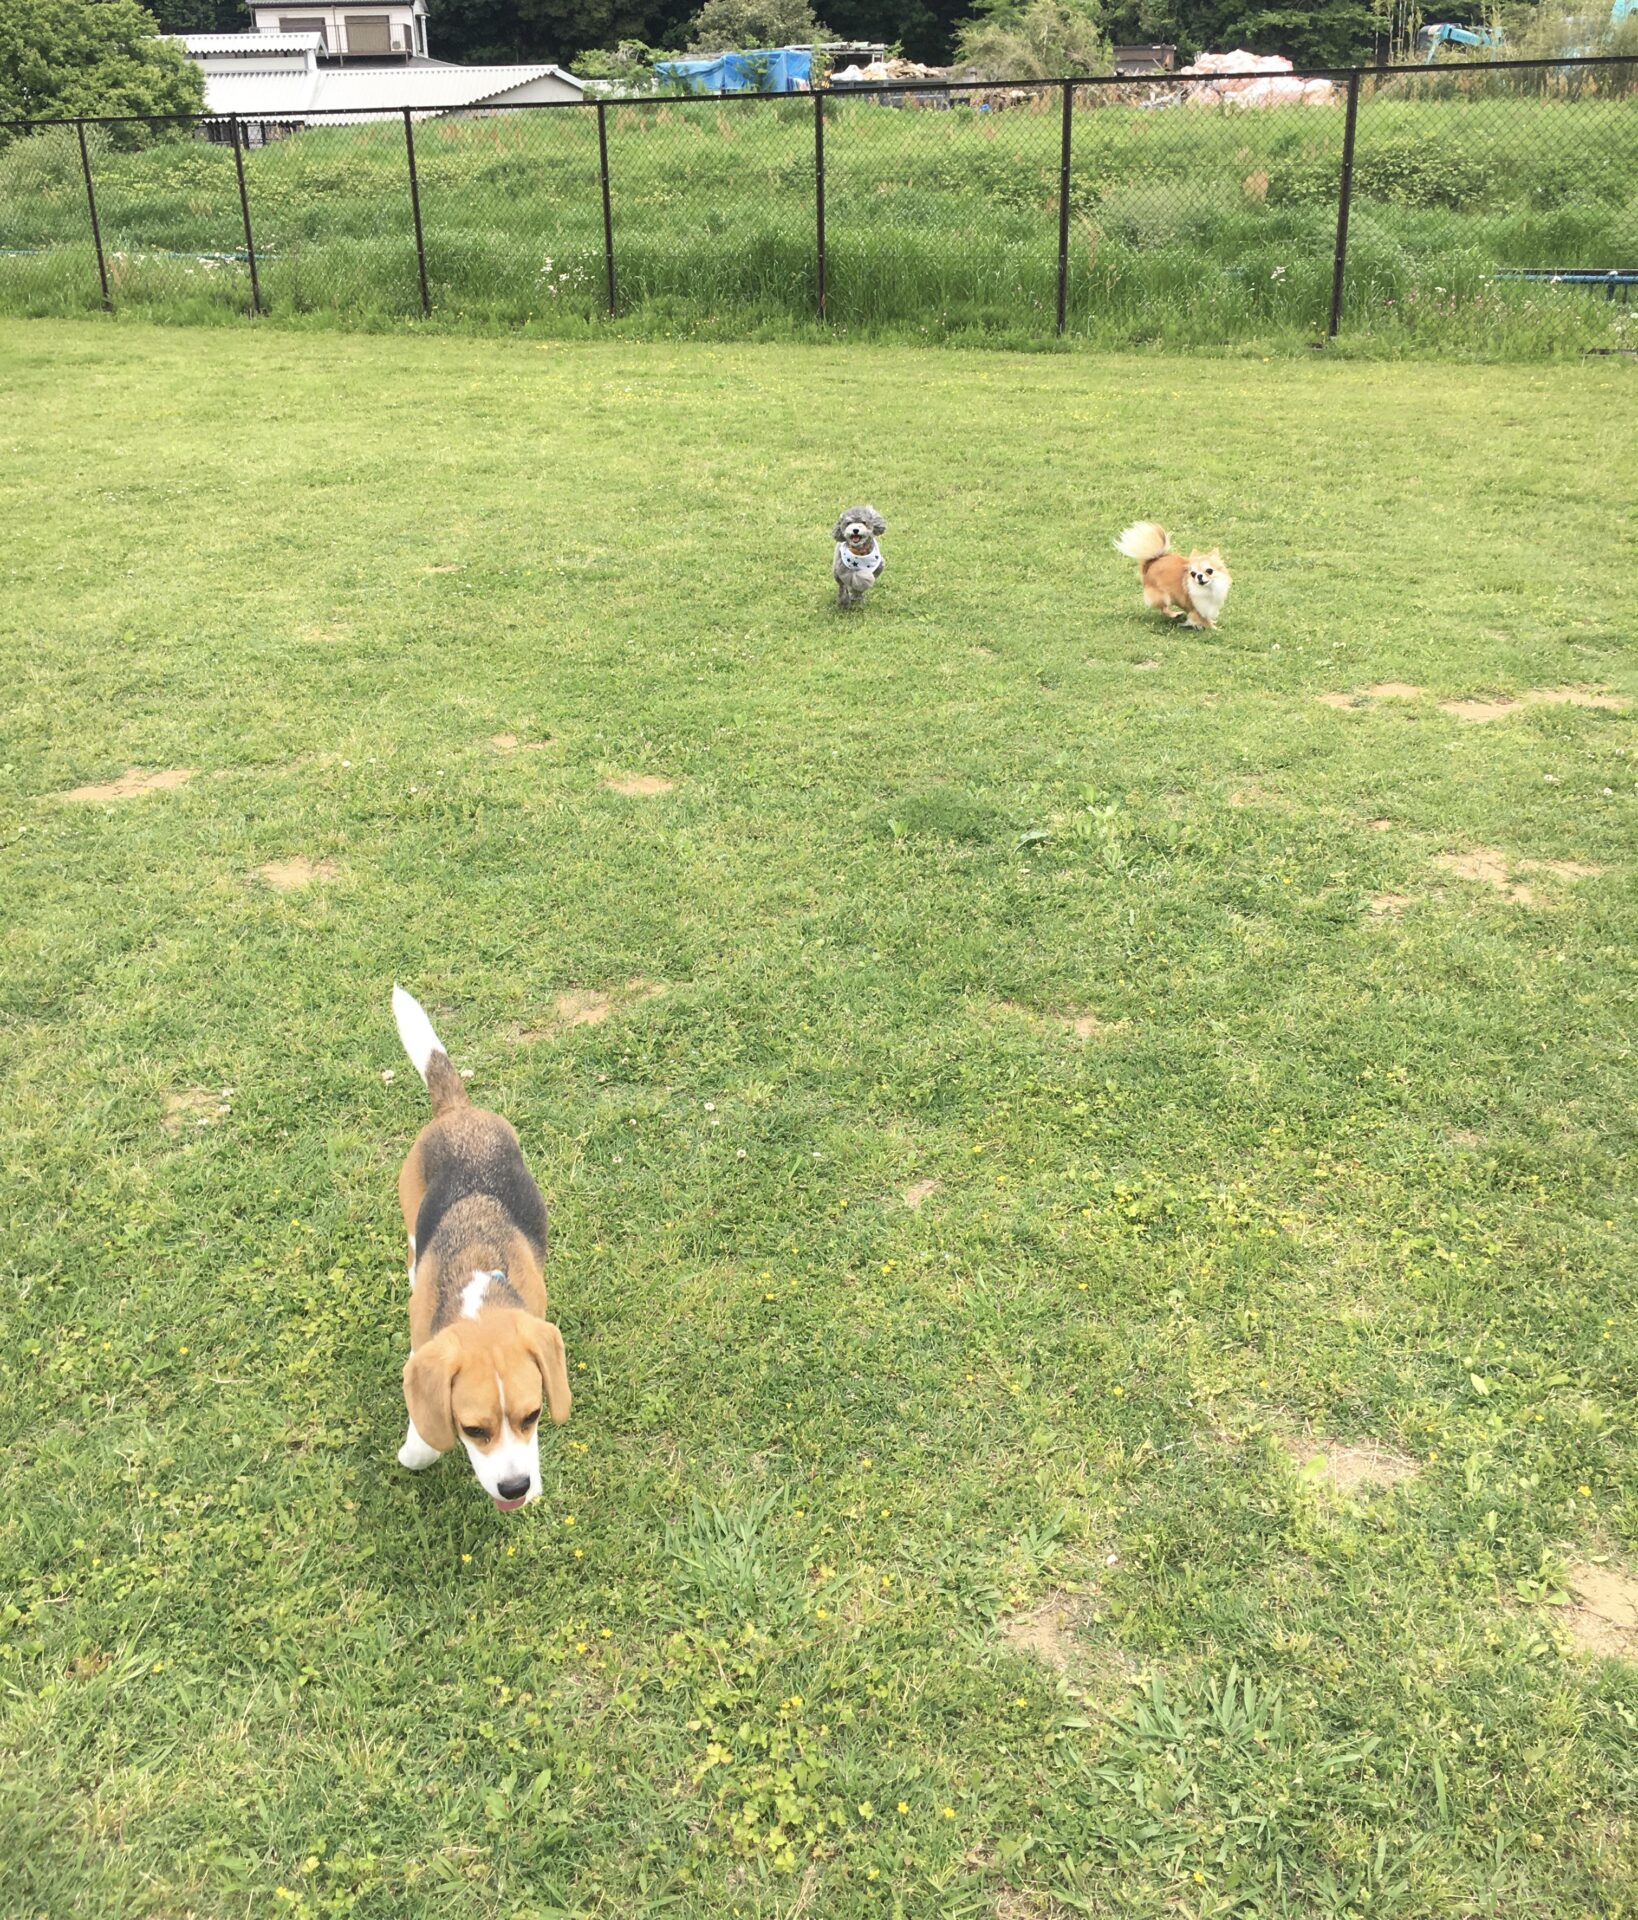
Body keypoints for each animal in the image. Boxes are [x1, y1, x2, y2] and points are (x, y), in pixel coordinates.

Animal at [392, 985, 571, 1510]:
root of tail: (458, 1112)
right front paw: (416, 1449)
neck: (478, 1290)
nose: (515, 1488)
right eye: (473, 1429)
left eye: (533, 1416)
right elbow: (422, 1435)